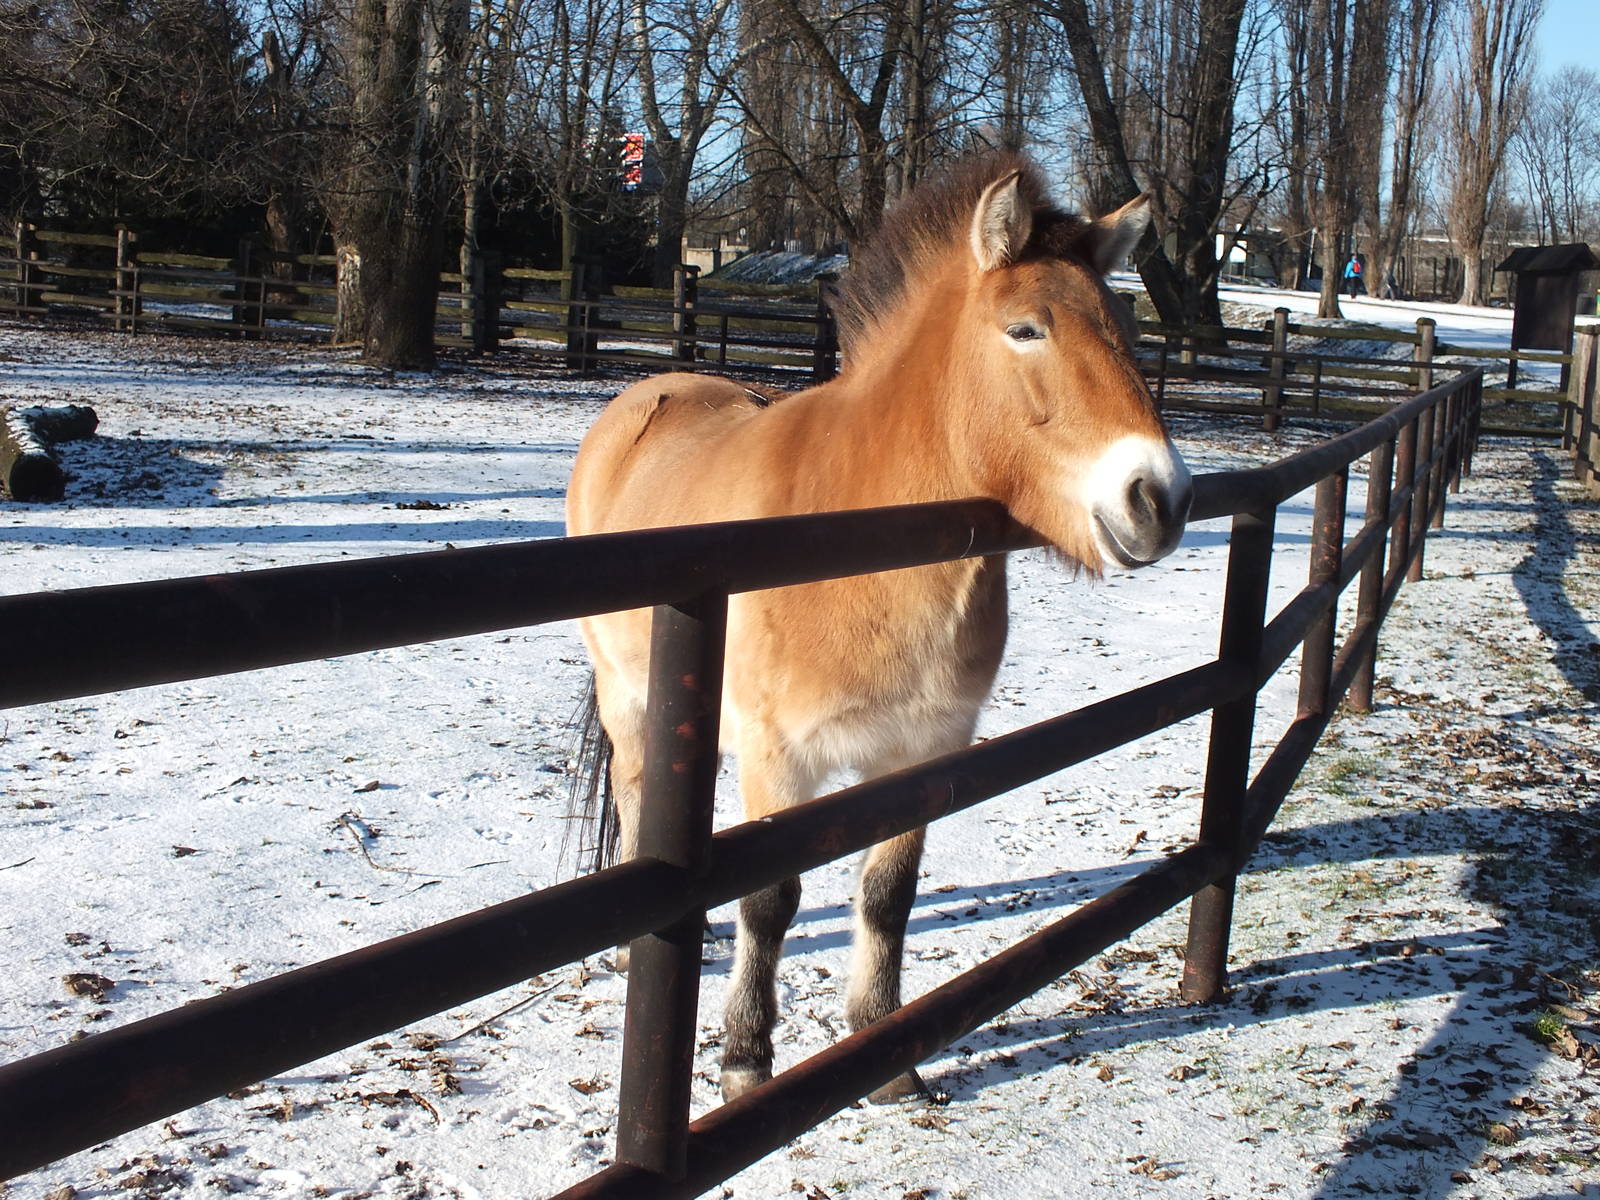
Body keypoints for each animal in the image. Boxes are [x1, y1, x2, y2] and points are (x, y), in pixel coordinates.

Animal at [566, 152, 1193, 1104]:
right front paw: (746, 1060)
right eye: (1026, 330)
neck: (864, 543)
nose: (1159, 498)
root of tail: (644, 395)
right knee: (638, 797)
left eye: (1124, 325)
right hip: (626, 694)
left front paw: (885, 1052)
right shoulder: (782, 759)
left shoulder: (922, 753)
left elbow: (887, 892)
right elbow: (771, 901)